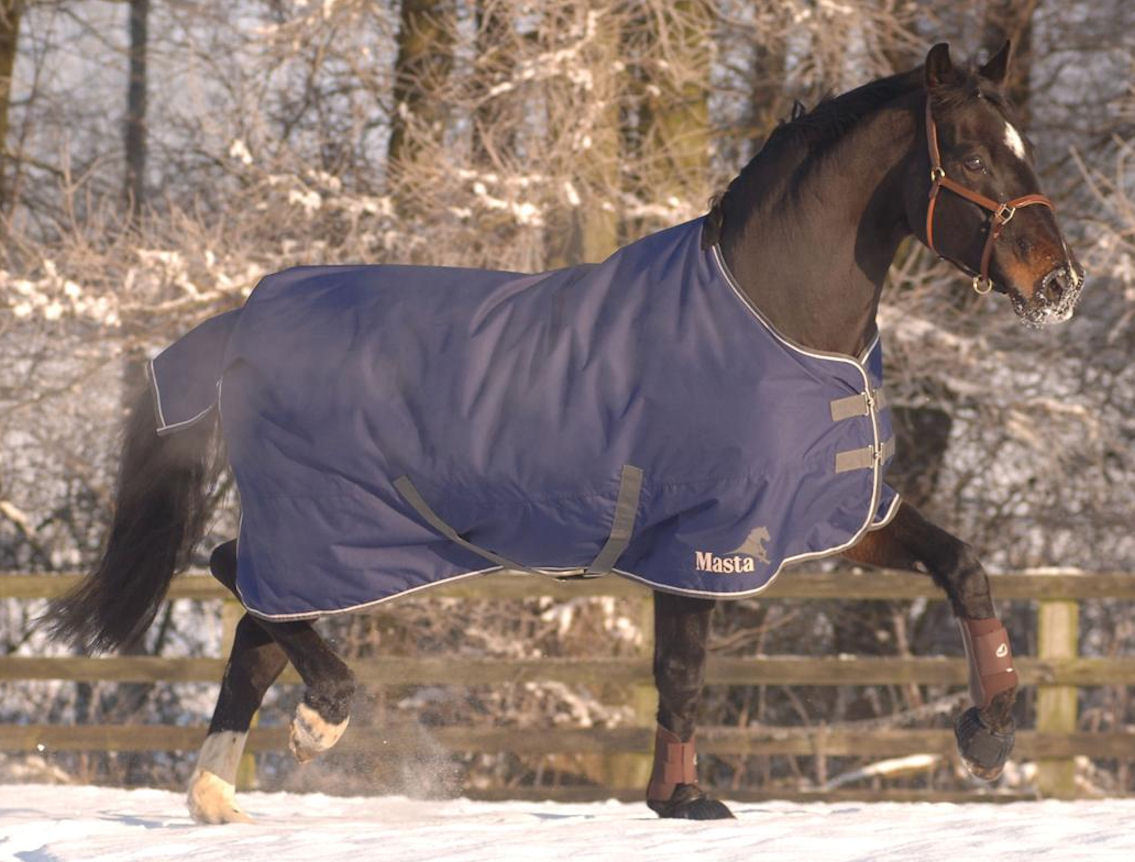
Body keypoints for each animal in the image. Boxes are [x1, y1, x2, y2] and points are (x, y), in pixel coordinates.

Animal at [46, 42, 1083, 823]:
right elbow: (682, 669)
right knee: (238, 578)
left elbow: (962, 566)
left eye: (1022, 146)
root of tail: (249, 314)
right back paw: (318, 725)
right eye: (973, 157)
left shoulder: (833, 512)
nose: (1058, 283)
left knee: (258, 622)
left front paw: (990, 731)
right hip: (332, 522)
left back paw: (219, 794)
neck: (772, 317)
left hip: (334, 537)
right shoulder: (703, 538)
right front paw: (684, 799)